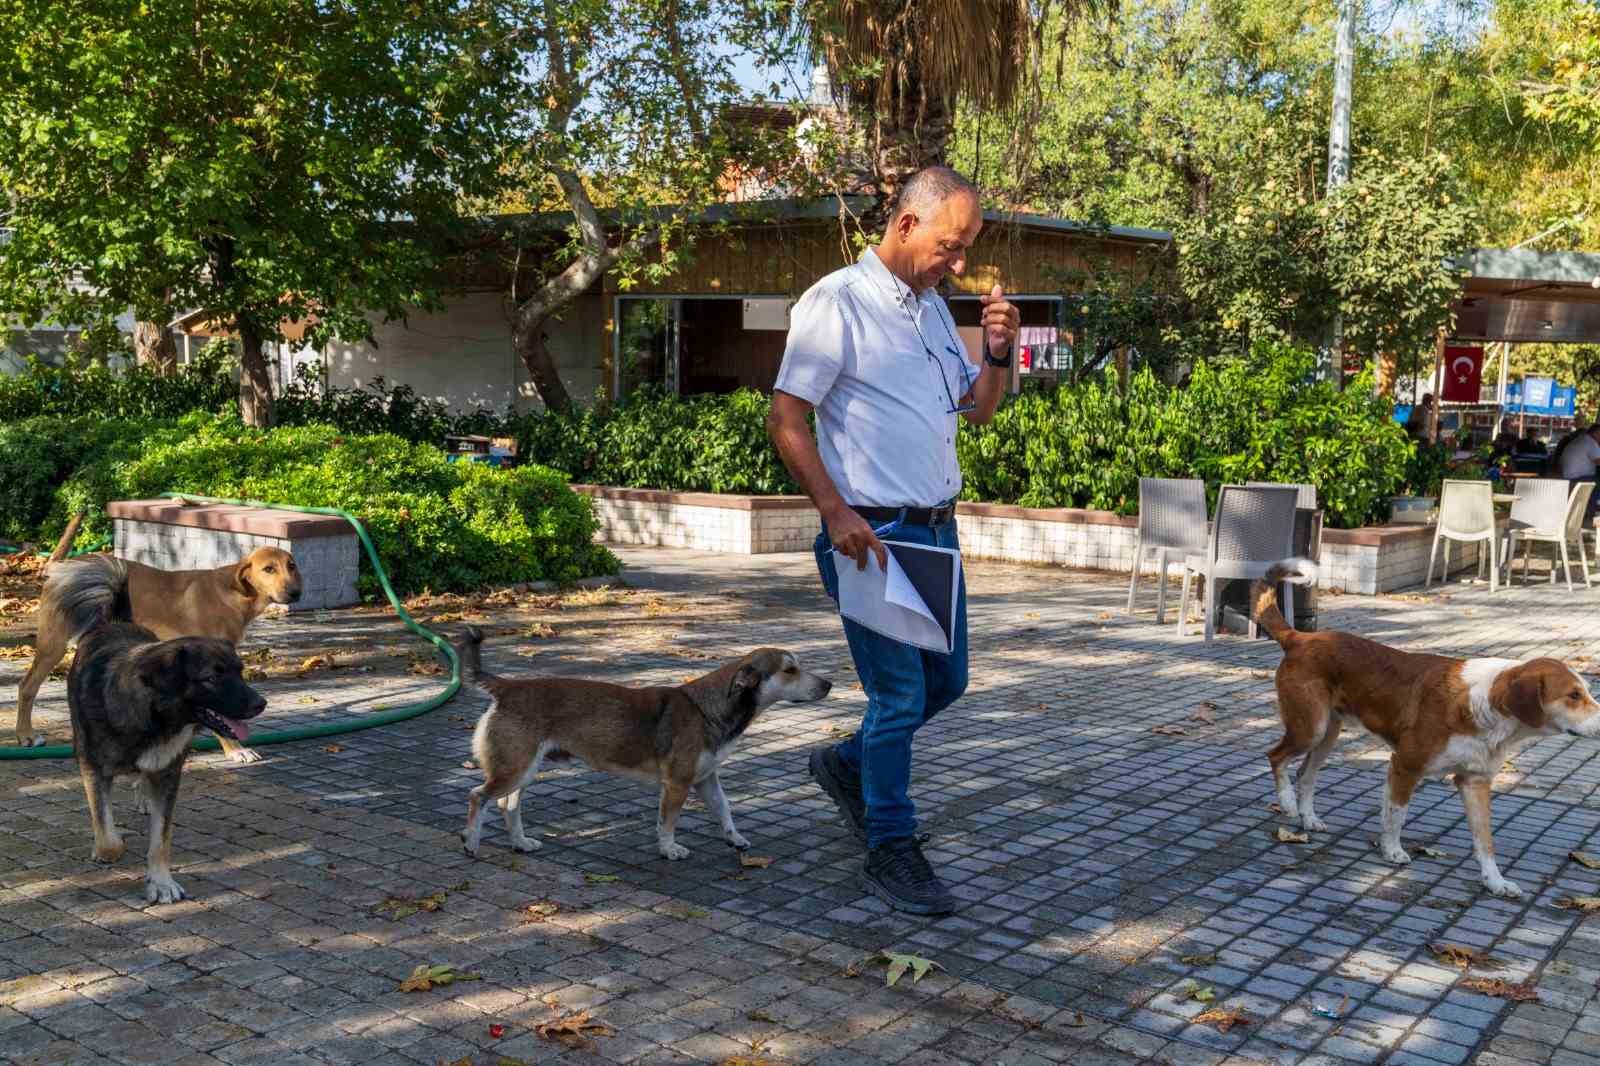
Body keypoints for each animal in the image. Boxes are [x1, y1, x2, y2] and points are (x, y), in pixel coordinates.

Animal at [14, 521, 300, 755]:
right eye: (268, 569)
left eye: (291, 566)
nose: (295, 593)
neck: (234, 592)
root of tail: (61, 568)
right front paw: (235, 749)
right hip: (54, 643)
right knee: (27, 687)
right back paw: (25, 735)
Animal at [70, 617, 265, 902]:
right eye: (211, 678)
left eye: (240, 671)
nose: (261, 703)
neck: (154, 721)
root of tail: (116, 621)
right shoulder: (93, 768)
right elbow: (108, 837)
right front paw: (109, 846)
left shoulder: (167, 777)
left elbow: (161, 840)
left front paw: (161, 882)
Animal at [1254, 557, 1600, 896]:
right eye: (1573, 695)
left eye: (1586, 691)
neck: (1485, 708)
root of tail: (1301, 637)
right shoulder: (1405, 766)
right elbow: (1397, 814)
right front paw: (1392, 851)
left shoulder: (1474, 782)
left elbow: (1485, 841)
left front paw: (1495, 881)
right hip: (1310, 727)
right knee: (1276, 757)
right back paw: (1287, 802)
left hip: (1327, 733)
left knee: (1305, 773)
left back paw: (1309, 818)